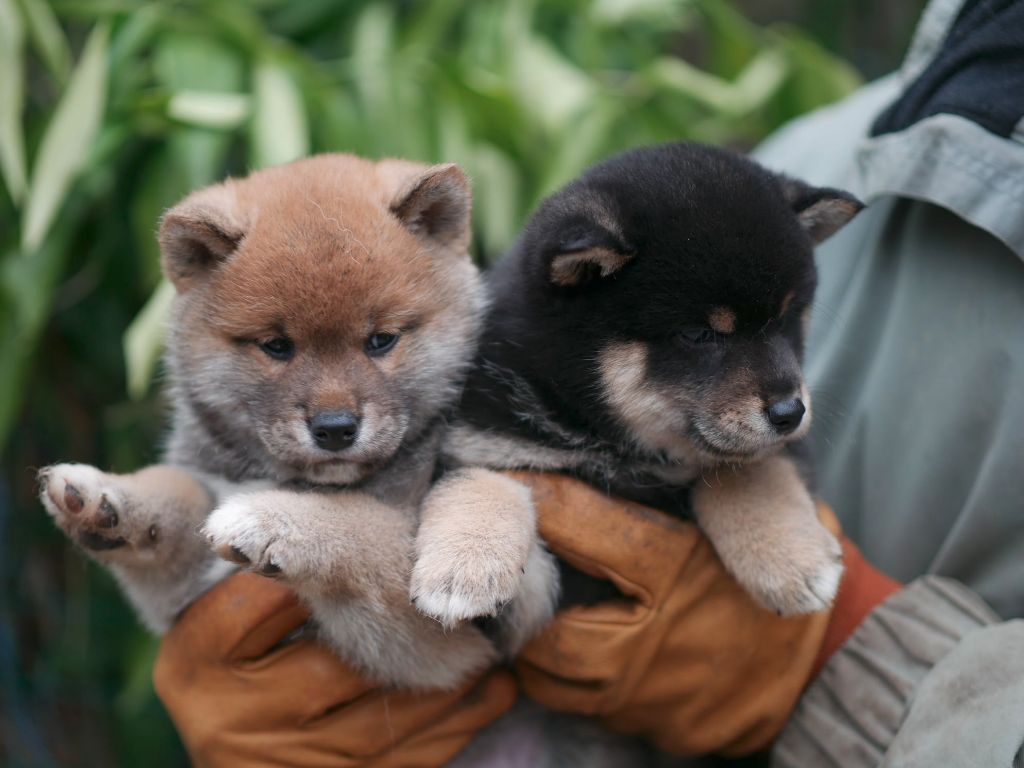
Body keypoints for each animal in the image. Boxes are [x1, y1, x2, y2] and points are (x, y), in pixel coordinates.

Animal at [36, 153, 557, 688]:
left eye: (381, 340)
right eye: (277, 346)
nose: (335, 429)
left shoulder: (450, 652)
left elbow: (361, 523)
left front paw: (272, 521)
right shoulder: (185, 598)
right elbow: (175, 489)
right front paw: (106, 498)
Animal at [444, 143, 860, 614]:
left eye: (787, 318)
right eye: (698, 335)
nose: (790, 412)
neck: (607, 440)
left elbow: (749, 467)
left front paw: (791, 558)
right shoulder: (478, 434)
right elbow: (481, 474)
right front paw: (467, 561)